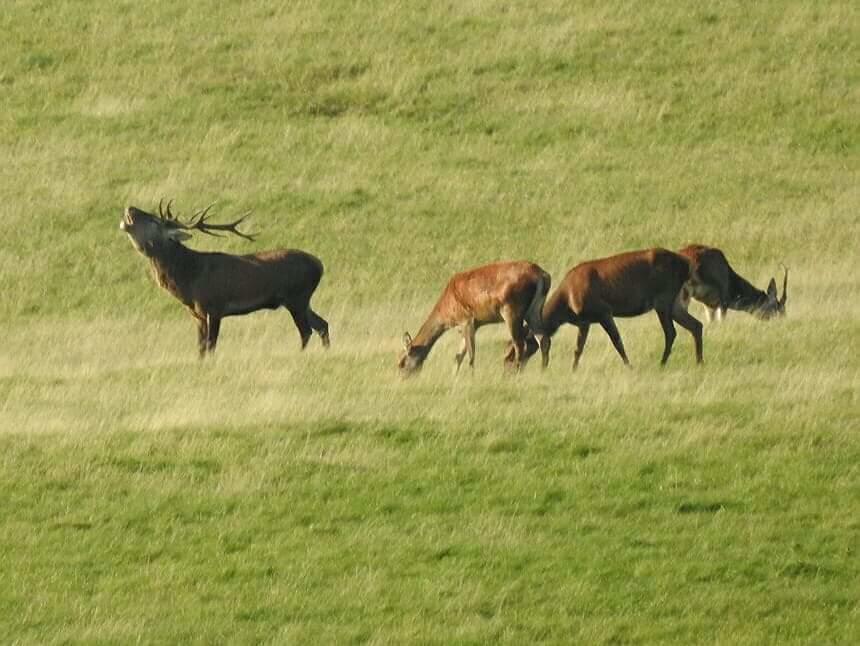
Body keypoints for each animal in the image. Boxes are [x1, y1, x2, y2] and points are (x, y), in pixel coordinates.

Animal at [122, 200, 330, 356]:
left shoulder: (214, 306)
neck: (188, 281)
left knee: (306, 331)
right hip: (302, 300)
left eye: (154, 221)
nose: (130, 208)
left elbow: (211, 346)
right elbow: (200, 348)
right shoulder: (196, 314)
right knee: (322, 325)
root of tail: (320, 265)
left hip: (296, 296)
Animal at [398, 260, 552, 378]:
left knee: (520, 344)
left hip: (512, 310)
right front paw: (453, 379)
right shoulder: (471, 325)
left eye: (402, 362)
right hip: (534, 310)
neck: (447, 310)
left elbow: (470, 356)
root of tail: (543, 276)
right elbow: (458, 356)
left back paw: (516, 374)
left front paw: (471, 378)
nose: (403, 379)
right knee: (544, 339)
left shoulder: (467, 320)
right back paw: (542, 372)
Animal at [510, 248, 700, 370]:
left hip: (663, 298)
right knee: (696, 325)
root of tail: (686, 264)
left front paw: (629, 366)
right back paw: (699, 361)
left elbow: (617, 341)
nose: (512, 367)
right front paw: (573, 369)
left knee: (671, 332)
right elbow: (578, 348)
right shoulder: (584, 321)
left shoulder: (603, 311)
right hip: (675, 302)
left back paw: (662, 363)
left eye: (512, 349)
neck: (566, 307)